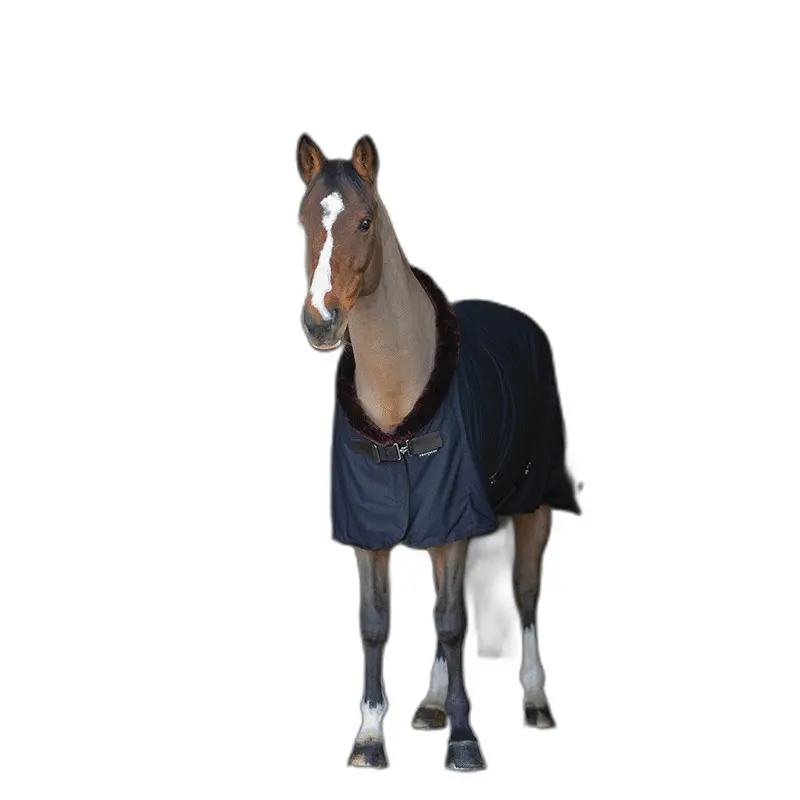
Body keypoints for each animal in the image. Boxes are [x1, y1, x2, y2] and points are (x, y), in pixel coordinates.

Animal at [296, 134, 581, 771]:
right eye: (303, 220)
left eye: (365, 221)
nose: (320, 321)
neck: (396, 416)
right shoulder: (372, 532)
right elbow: (375, 624)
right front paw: (369, 737)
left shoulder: (455, 521)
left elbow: (453, 622)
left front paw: (464, 740)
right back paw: (430, 703)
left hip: (534, 506)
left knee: (525, 593)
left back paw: (535, 700)